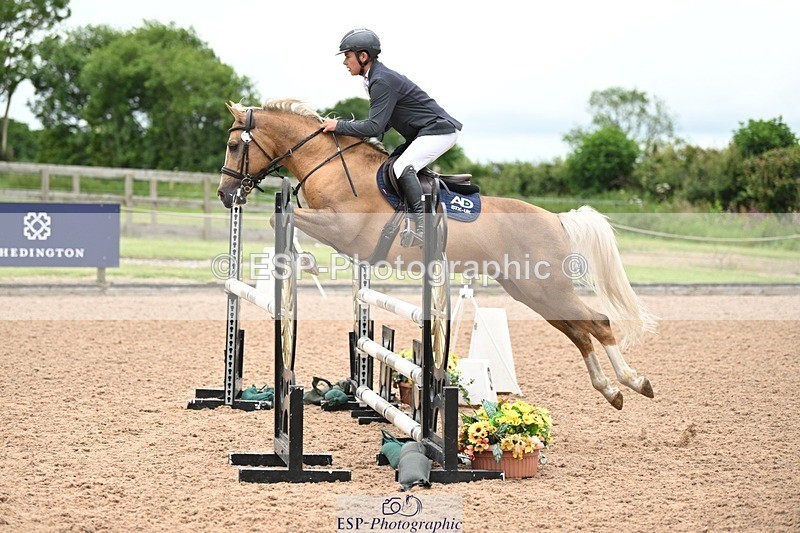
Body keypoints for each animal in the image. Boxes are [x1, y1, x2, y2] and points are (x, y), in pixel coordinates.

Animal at [217, 98, 657, 410]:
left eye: (235, 145)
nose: (225, 194)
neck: (329, 164)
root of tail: (556, 219)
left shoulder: (342, 228)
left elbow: (284, 218)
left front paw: (304, 262)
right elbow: (284, 219)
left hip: (545, 287)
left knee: (597, 322)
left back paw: (634, 382)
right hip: (530, 291)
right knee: (579, 331)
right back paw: (611, 390)